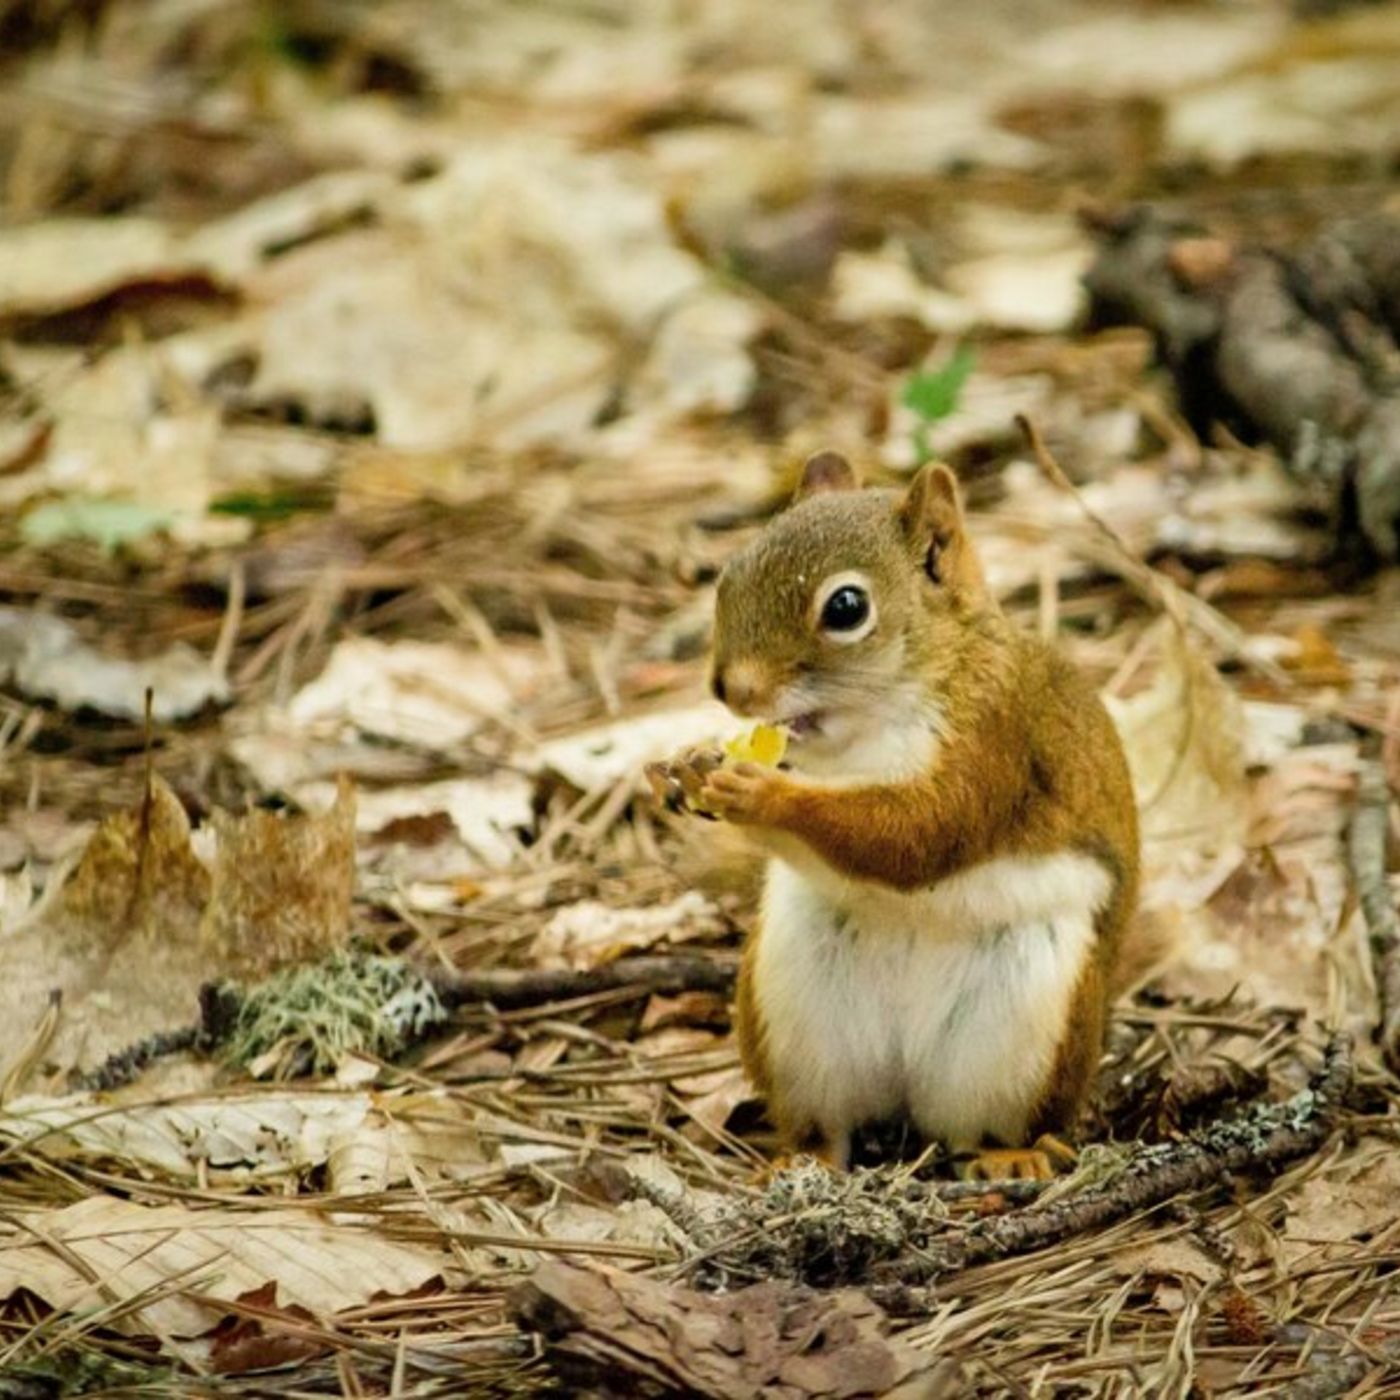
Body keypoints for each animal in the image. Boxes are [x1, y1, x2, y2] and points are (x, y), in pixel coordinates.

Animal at [656, 450, 1139, 1177]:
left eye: (846, 607)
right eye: (730, 572)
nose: (731, 689)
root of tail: (904, 1084)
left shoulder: (995, 736)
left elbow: (917, 836)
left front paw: (763, 795)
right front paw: (690, 764)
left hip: (1032, 1024)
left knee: (987, 1124)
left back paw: (1012, 1155)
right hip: (793, 1013)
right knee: (826, 1124)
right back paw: (802, 1159)